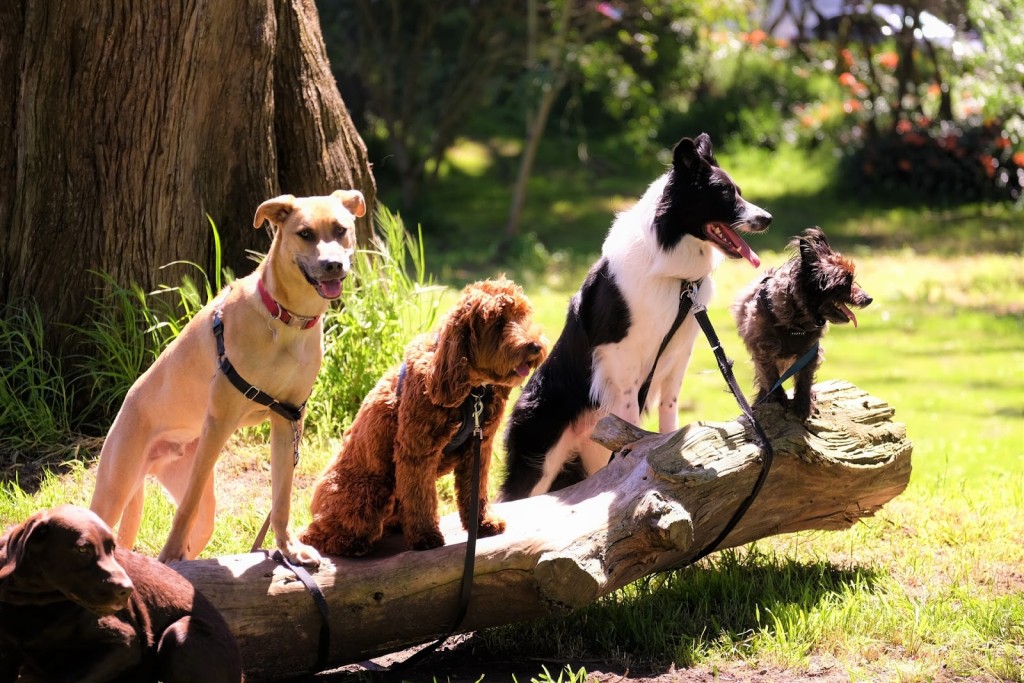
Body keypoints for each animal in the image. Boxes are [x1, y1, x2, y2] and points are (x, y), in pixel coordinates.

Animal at [90, 188, 366, 565]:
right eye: (305, 233)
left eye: (340, 230)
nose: (332, 265)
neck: (285, 319)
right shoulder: (219, 422)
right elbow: (186, 508)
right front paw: (169, 553)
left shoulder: (288, 418)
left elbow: (282, 497)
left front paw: (289, 548)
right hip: (115, 488)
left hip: (201, 506)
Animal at [299, 278, 548, 557]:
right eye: (498, 323)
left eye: (522, 315)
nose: (535, 346)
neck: (471, 391)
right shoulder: (416, 451)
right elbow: (421, 498)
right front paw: (425, 536)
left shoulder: (479, 447)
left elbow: (475, 491)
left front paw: (483, 523)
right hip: (370, 492)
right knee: (313, 535)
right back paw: (349, 544)